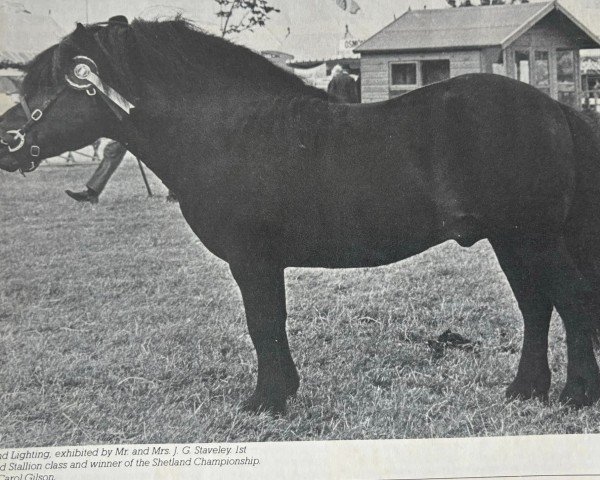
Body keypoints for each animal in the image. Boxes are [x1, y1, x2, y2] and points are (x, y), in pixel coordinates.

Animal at [1, 16, 600, 414]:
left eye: (50, 85)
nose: (7, 142)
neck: (225, 130)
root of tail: (555, 108)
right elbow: (270, 323)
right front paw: (281, 392)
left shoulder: (252, 260)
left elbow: (263, 322)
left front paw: (266, 401)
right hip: (510, 240)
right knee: (536, 306)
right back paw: (524, 390)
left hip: (534, 238)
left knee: (569, 302)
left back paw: (575, 395)